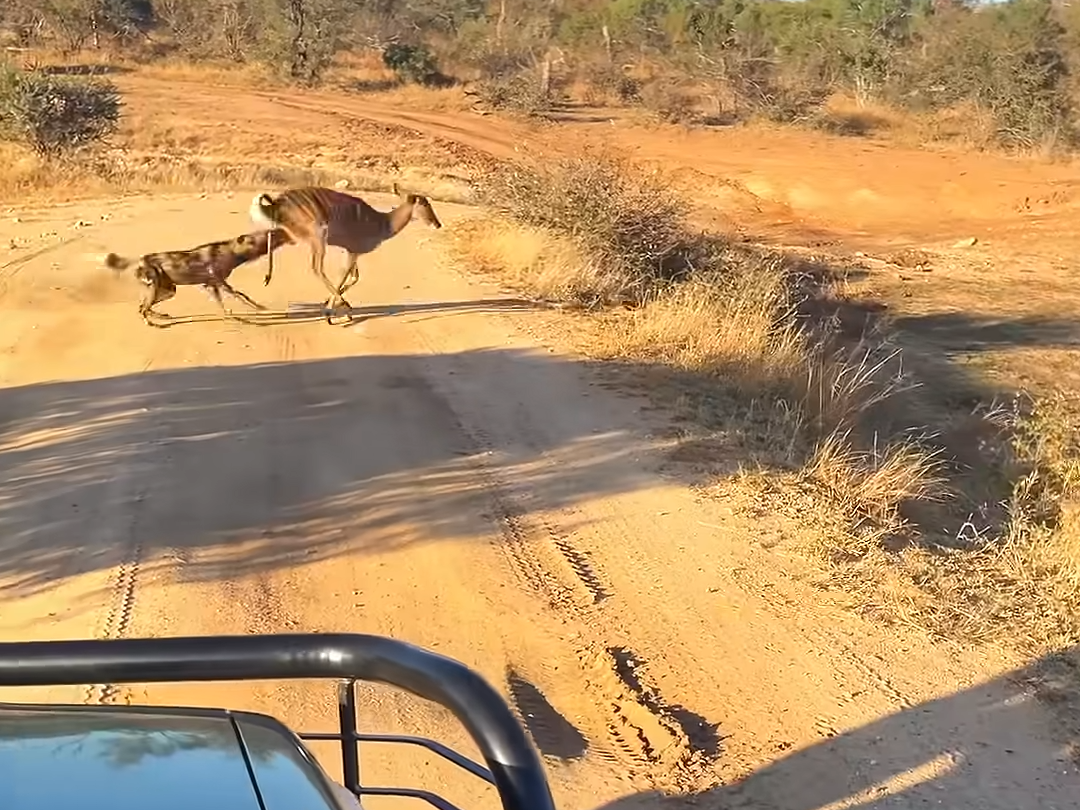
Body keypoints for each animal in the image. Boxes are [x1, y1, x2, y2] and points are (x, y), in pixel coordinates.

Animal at [102, 226, 293, 328]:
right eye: (256, 238)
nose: (278, 230)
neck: (231, 252)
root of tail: (141, 259)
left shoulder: (209, 285)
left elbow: (227, 304)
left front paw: (240, 316)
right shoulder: (219, 283)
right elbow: (240, 297)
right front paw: (253, 312)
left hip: (168, 290)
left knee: (143, 306)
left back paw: (161, 316)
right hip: (158, 287)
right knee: (143, 308)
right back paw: (153, 323)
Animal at [248, 184, 442, 324]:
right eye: (425, 204)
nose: (437, 224)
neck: (383, 224)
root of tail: (277, 203)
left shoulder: (351, 251)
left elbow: (353, 277)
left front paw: (328, 303)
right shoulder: (353, 250)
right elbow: (345, 275)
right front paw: (335, 311)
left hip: (296, 234)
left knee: (271, 234)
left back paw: (267, 278)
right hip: (318, 236)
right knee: (316, 268)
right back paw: (340, 311)